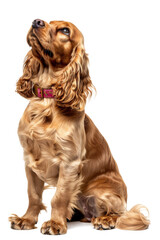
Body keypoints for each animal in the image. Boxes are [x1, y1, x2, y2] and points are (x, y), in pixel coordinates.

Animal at [8, 19, 149, 234]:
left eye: (65, 30)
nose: (36, 21)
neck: (46, 103)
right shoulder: (29, 158)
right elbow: (33, 194)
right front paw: (27, 220)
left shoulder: (69, 161)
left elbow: (59, 197)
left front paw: (55, 224)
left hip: (102, 192)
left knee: (120, 214)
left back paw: (105, 220)